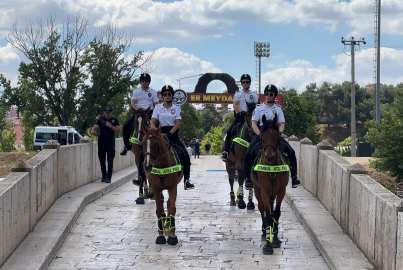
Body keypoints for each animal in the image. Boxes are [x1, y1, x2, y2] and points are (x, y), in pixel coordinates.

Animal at [251, 113, 288, 255]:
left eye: (276, 134)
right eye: (262, 135)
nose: (269, 156)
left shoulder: (281, 191)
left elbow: (276, 213)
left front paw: (275, 239)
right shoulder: (265, 191)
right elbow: (267, 216)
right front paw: (268, 245)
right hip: (257, 189)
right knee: (262, 209)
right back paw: (264, 232)